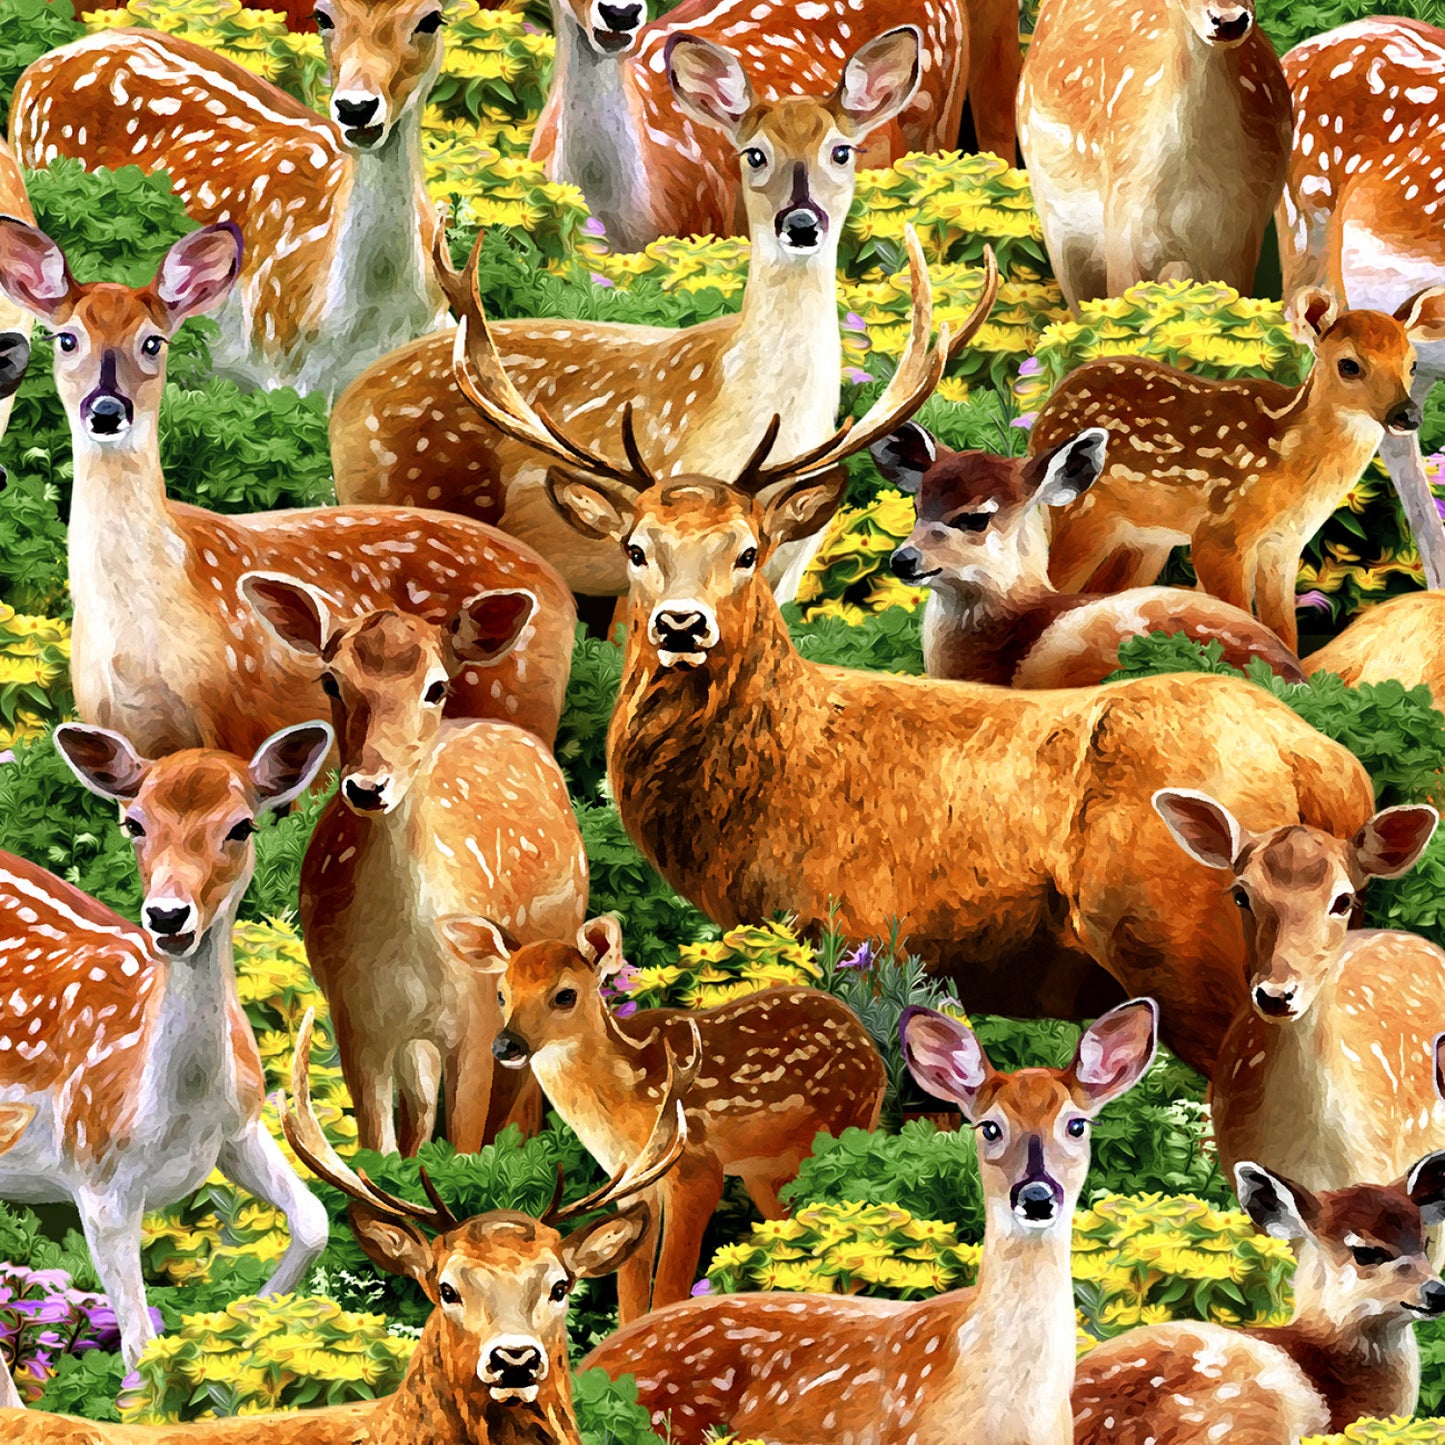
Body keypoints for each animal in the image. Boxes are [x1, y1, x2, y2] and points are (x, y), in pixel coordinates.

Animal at [0, 215, 575, 761]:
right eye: (67, 338)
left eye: (152, 342)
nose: (106, 410)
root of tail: (562, 596)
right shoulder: (117, 726)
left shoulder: (244, 721)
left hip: (518, 704)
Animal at [0, 718, 334, 1373]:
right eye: (134, 823)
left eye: (242, 825)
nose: (168, 917)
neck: (180, 1108)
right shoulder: (96, 1179)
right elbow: (139, 1347)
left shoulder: (240, 1127)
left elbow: (315, 1221)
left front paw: (247, 1323)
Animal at [241, 576, 588, 1158]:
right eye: (331, 681)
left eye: (437, 688)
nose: (367, 786)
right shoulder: (355, 1019)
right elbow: (377, 1154)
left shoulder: (480, 1017)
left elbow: (467, 1149)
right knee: (420, 1118)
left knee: (523, 1106)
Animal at [439, 913, 886, 1325]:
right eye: (502, 995)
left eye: (564, 995)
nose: (506, 1045)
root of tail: (873, 1050)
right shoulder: (630, 1182)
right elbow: (630, 1289)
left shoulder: (697, 1167)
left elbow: (670, 1286)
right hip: (766, 1173)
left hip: (837, 1134)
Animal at [1030, 286, 1445, 653]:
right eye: (1349, 365)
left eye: (1412, 364)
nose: (1407, 414)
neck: (1287, 458)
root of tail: (1043, 415)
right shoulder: (1221, 535)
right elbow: (1240, 617)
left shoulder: (1284, 547)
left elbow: (1284, 629)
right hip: (1080, 513)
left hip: (1144, 538)